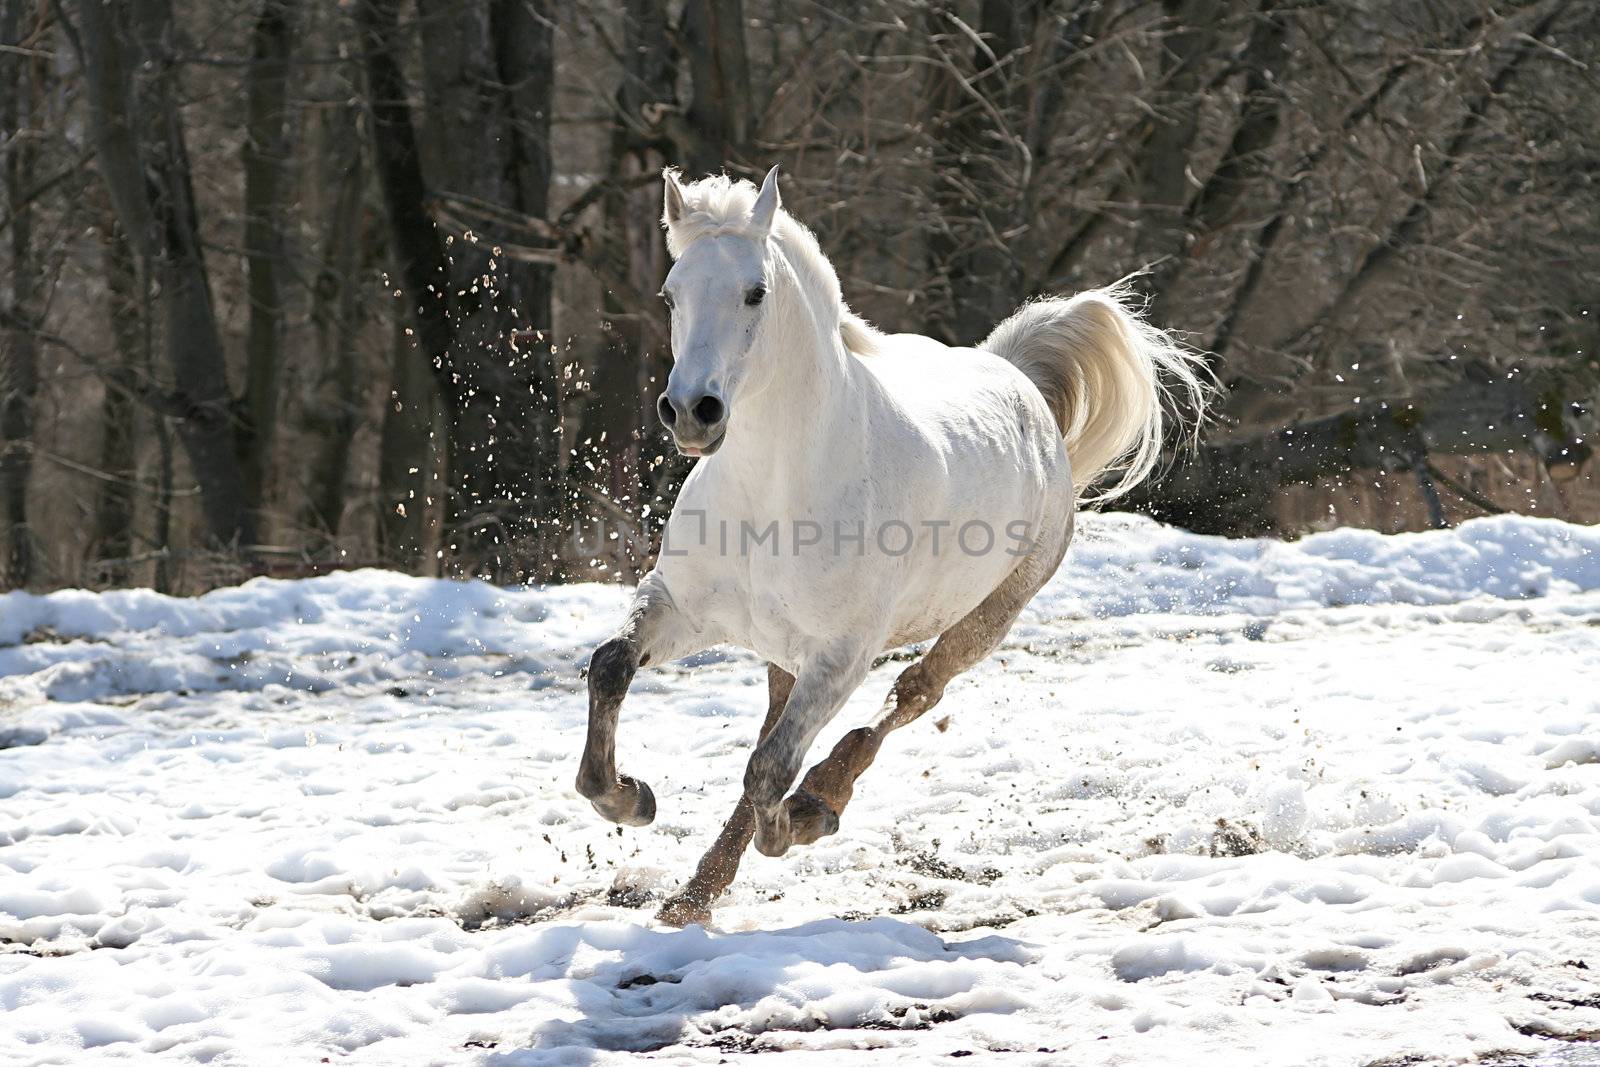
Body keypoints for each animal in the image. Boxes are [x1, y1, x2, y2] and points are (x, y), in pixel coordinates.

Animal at [579, 167, 1209, 927]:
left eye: (755, 291)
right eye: (671, 294)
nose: (691, 412)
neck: (772, 491)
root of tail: (1016, 379)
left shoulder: (843, 653)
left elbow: (770, 770)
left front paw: (802, 821)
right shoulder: (682, 608)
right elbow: (613, 666)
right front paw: (628, 798)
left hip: (988, 615)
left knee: (912, 694)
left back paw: (820, 800)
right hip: (784, 649)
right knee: (780, 726)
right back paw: (691, 897)